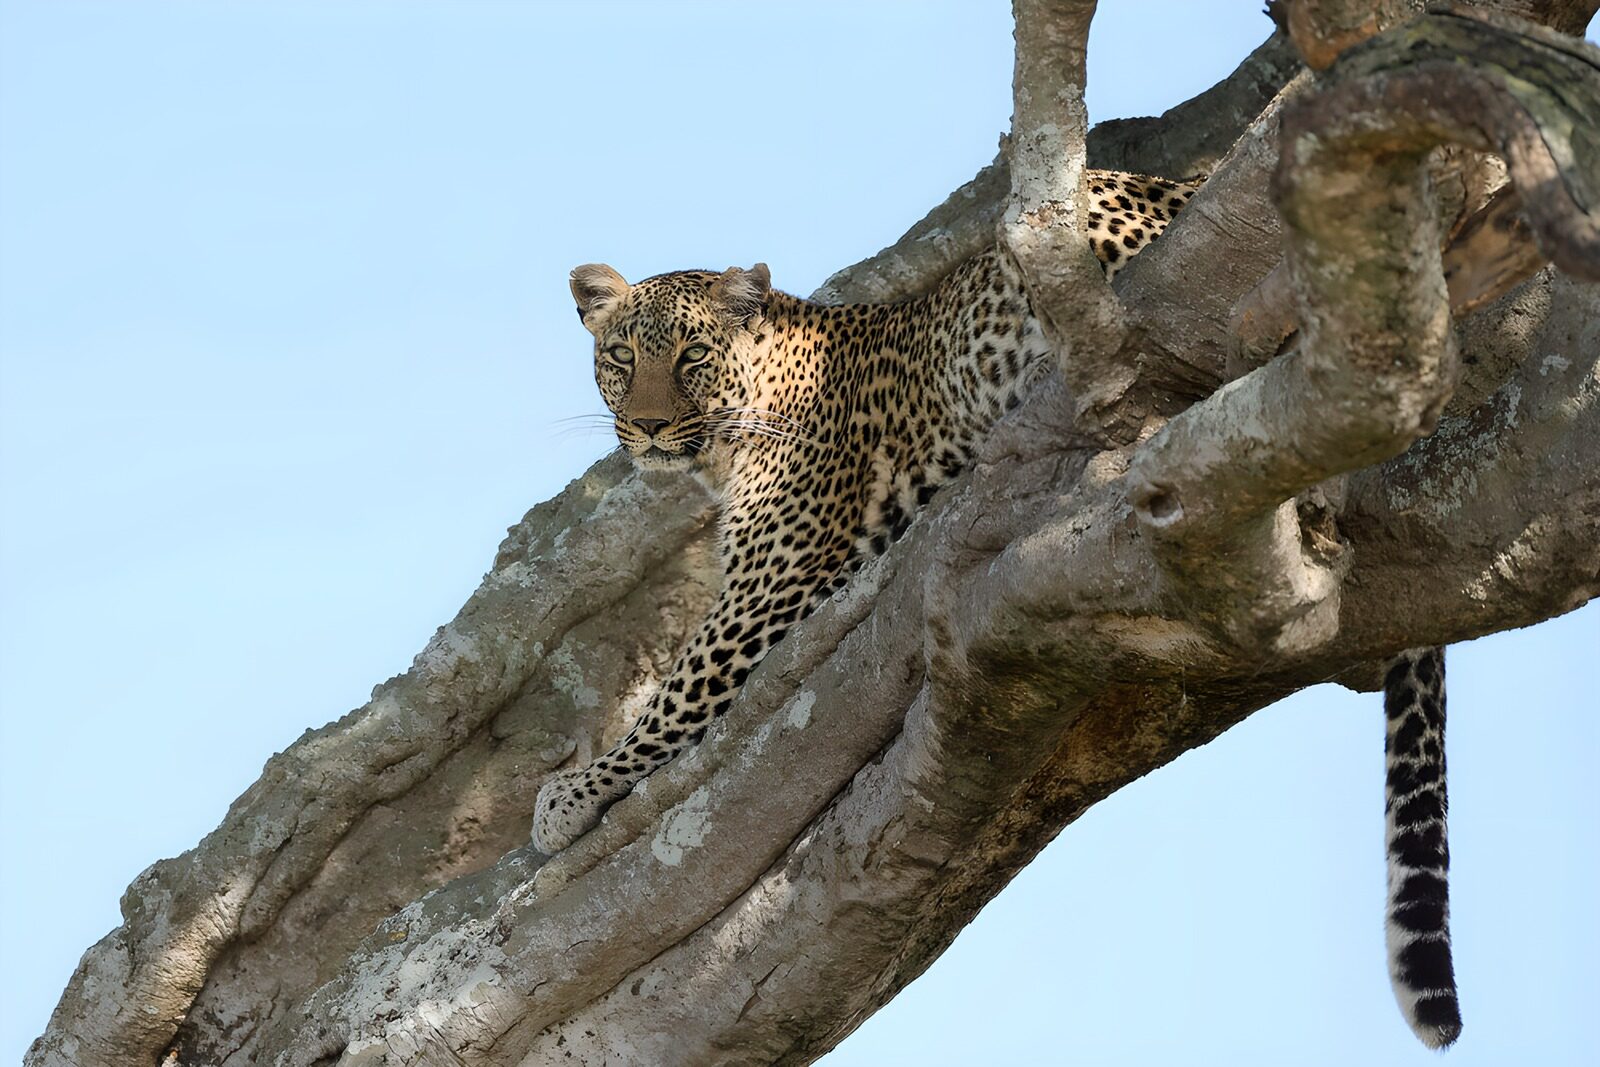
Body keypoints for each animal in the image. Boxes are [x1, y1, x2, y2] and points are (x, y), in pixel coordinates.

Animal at [531, 168, 1459, 1050]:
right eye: (620, 355)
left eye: (692, 354)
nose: (650, 426)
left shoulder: (770, 584)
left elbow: (672, 697)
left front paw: (567, 796)